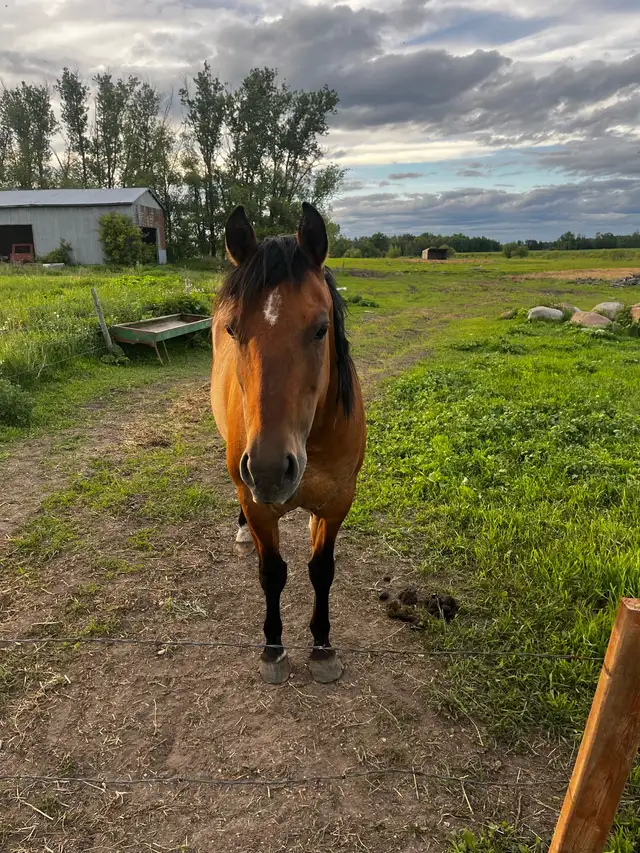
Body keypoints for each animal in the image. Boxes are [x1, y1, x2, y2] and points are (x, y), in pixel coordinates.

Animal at [211, 203, 366, 684]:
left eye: (320, 329)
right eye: (234, 330)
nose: (268, 470)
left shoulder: (338, 501)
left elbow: (321, 570)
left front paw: (322, 648)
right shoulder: (261, 506)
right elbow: (273, 573)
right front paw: (273, 649)